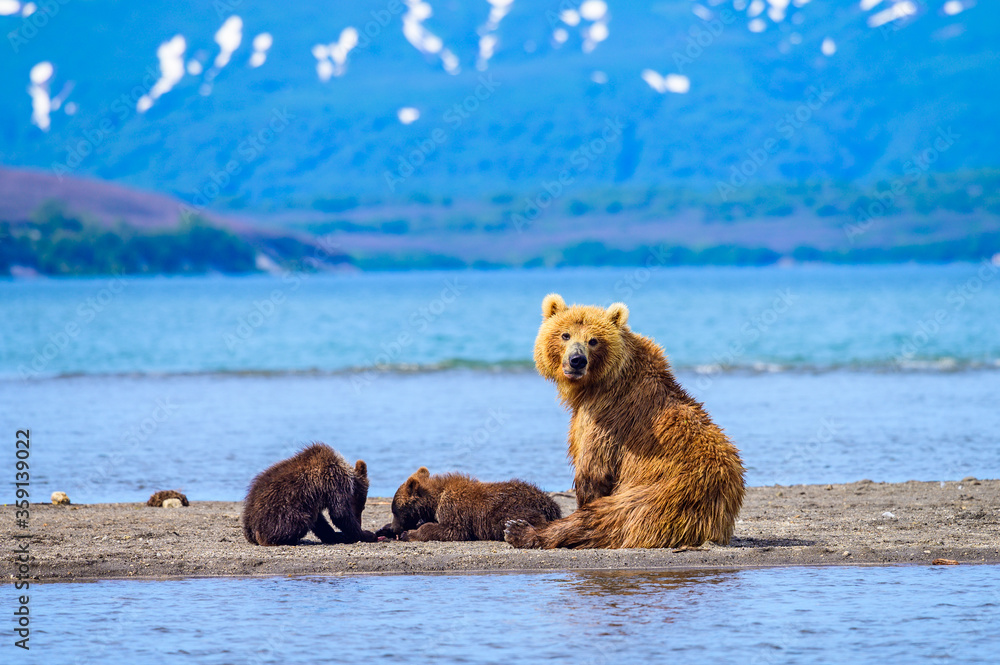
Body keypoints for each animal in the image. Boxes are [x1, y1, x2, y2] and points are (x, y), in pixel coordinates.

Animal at [242, 443, 376, 546]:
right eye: (362, 505)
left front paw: (336, 535)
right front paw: (365, 534)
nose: (359, 521)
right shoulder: (335, 482)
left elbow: (321, 521)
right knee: (300, 519)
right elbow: (340, 514)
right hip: (284, 511)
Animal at [375, 467, 561, 542]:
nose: (395, 528)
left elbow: (453, 530)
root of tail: (551, 503)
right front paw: (383, 529)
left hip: (510, 509)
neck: (436, 500)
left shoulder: (454, 509)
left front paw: (410, 533)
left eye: (396, 510)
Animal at [503, 293, 745, 550]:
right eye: (565, 334)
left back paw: (522, 531)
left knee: (606, 517)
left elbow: (592, 472)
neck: (598, 384)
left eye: (593, 340)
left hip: (661, 495)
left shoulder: (608, 418)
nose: (576, 360)